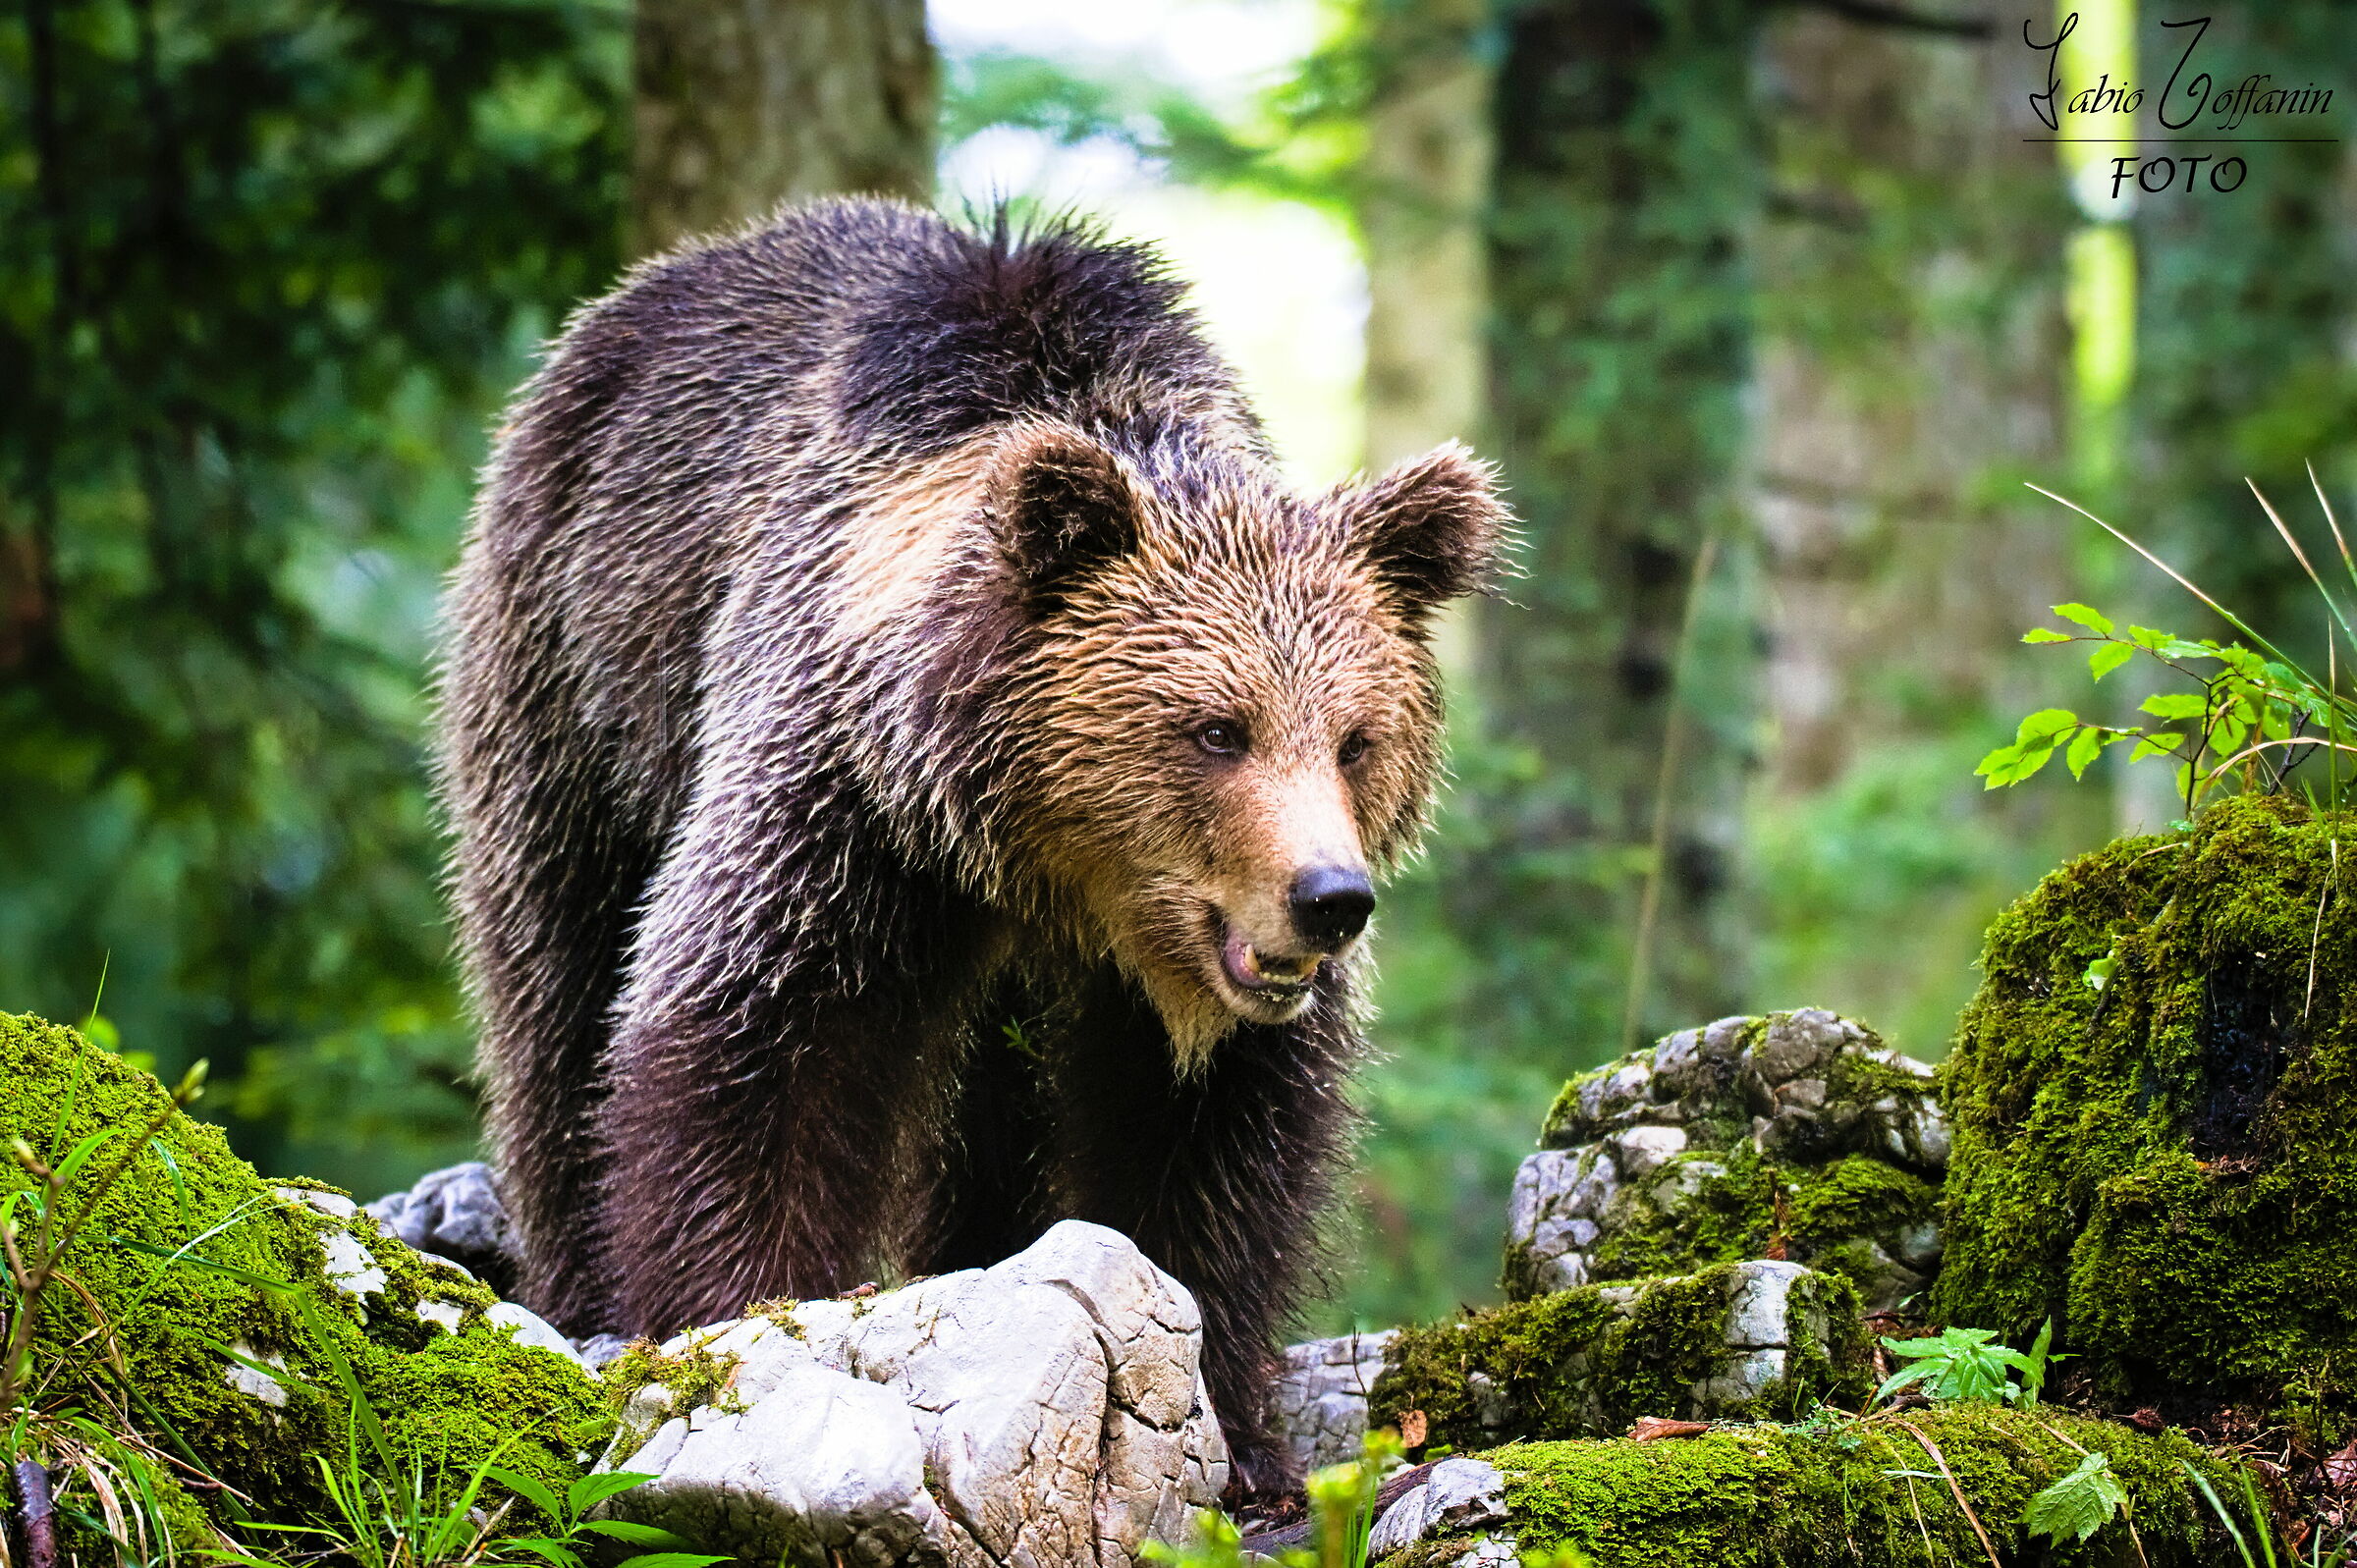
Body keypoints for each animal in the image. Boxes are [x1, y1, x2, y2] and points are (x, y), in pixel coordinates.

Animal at [435, 199, 1506, 1490]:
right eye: (1217, 728)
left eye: (1355, 739)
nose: (1328, 897)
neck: (1042, 859)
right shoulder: (844, 805)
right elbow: (757, 1041)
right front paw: (740, 1324)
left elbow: (1209, 1135)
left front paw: (1234, 1428)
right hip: (574, 662)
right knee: (561, 971)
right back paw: (576, 1277)